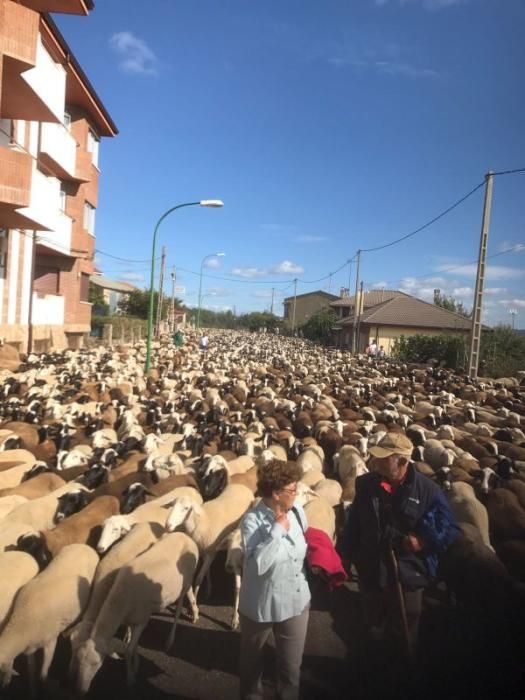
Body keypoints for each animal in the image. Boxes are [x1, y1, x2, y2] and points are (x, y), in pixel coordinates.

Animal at [0, 544, 98, 692]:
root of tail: (84, 545)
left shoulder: (50, 641)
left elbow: (43, 674)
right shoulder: (29, 648)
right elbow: (32, 671)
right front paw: (33, 689)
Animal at [72, 532, 198, 692]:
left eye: (97, 663)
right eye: (78, 659)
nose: (80, 691)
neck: (119, 602)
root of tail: (186, 536)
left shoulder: (142, 621)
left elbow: (128, 651)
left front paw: (131, 678)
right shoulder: (132, 619)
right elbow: (134, 645)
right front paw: (136, 665)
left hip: (185, 582)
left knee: (179, 607)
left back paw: (170, 640)